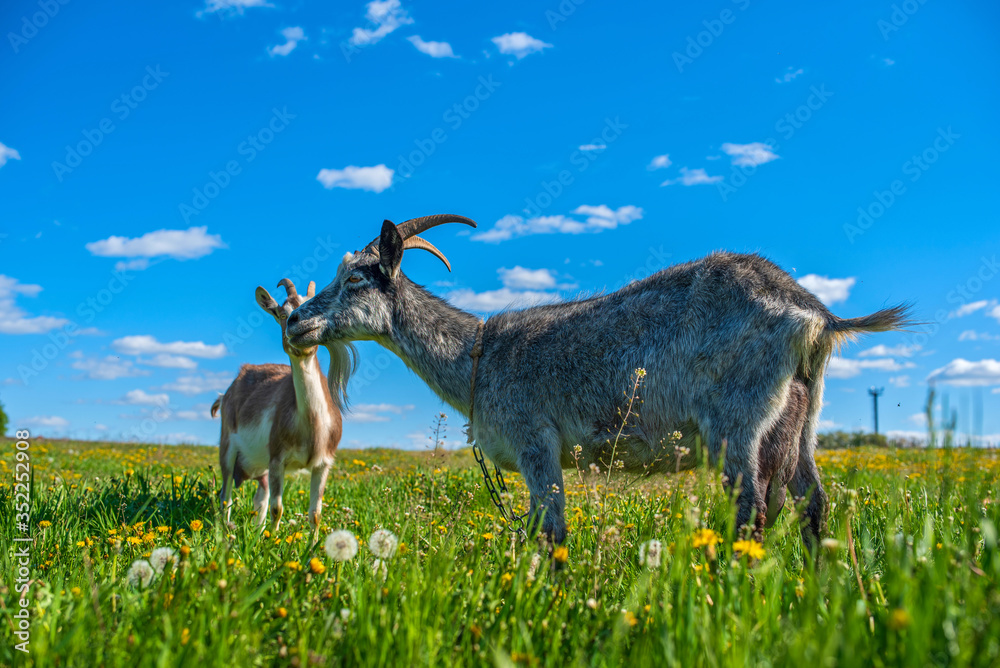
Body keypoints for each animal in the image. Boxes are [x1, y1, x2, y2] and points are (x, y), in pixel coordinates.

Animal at [212, 278, 342, 534]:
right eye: (283, 314)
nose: (299, 336)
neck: (311, 424)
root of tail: (226, 393)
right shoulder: (277, 459)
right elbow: (277, 508)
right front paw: (274, 540)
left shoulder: (323, 464)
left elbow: (315, 514)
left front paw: (312, 544)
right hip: (228, 449)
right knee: (225, 496)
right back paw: (226, 529)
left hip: (259, 466)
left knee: (259, 498)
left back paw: (257, 532)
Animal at [284, 215, 911, 550]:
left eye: (356, 278)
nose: (296, 322)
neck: (478, 356)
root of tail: (815, 314)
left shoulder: (536, 441)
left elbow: (553, 530)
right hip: (801, 418)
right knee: (812, 504)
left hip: (737, 420)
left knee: (750, 507)